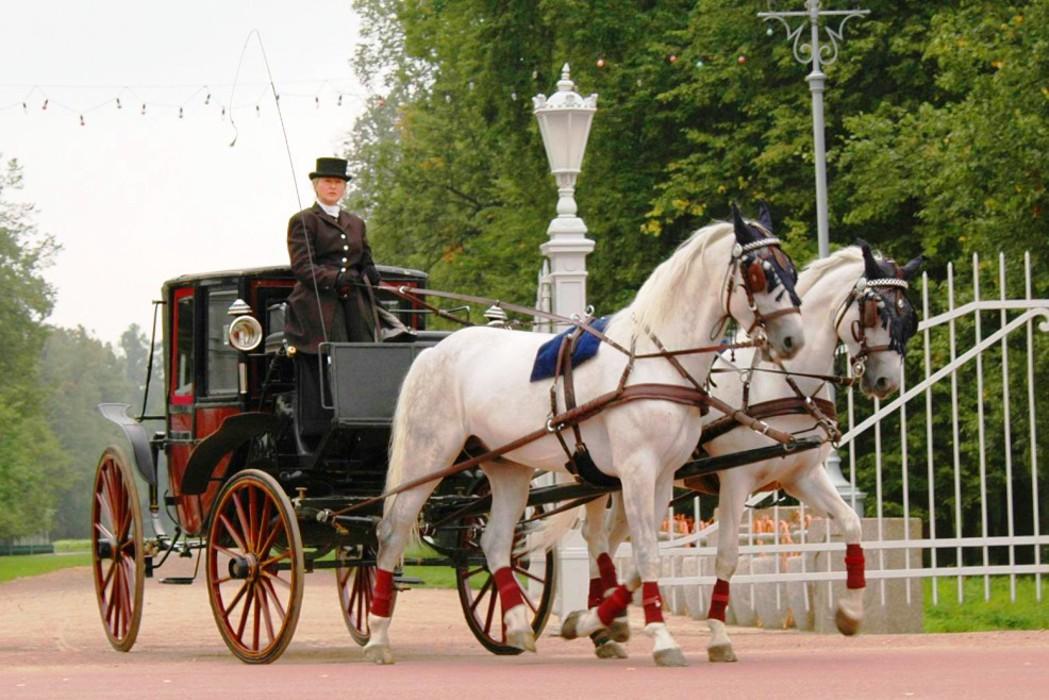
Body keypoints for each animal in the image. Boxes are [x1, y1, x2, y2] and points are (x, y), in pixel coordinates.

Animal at [365, 209, 805, 667]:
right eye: (758, 272)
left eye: (790, 269)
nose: (793, 339)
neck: (652, 362)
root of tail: (435, 351)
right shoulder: (636, 471)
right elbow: (644, 552)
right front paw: (660, 638)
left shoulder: (663, 476)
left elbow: (639, 559)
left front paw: (599, 621)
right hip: (428, 455)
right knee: (392, 531)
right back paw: (377, 634)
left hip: (506, 467)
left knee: (495, 542)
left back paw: (517, 626)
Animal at [541, 242, 918, 663]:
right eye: (876, 312)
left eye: (910, 316)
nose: (886, 381)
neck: (780, 384)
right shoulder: (736, 481)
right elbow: (727, 556)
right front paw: (718, 635)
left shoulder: (803, 478)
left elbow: (851, 523)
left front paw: (850, 612)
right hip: (599, 478)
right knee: (594, 537)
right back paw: (599, 622)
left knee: (609, 538)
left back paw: (607, 622)